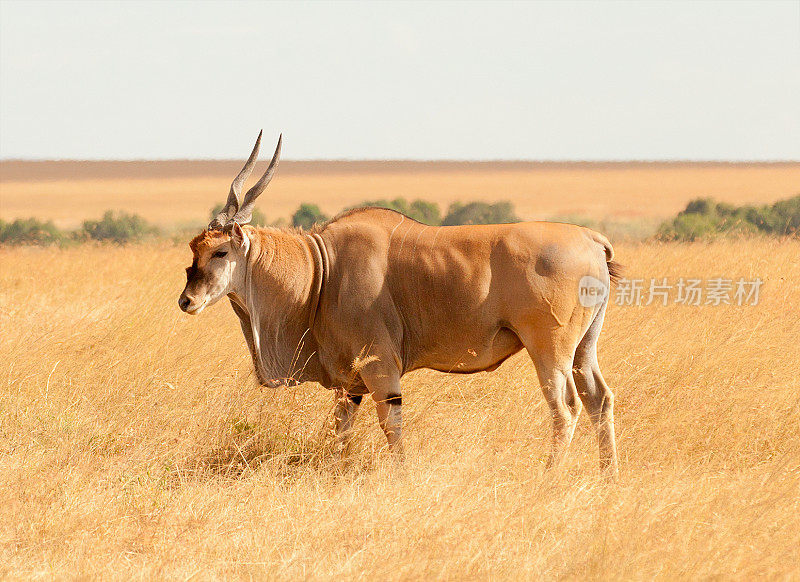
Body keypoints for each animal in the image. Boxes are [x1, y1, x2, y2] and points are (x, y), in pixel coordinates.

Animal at [178, 132, 620, 480]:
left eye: (220, 251)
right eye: (194, 248)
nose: (186, 300)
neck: (322, 268)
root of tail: (592, 238)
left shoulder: (380, 368)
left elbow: (391, 426)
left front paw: (402, 477)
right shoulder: (349, 383)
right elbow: (341, 430)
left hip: (550, 350)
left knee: (566, 408)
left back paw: (548, 479)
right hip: (583, 350)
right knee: (599, 399)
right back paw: (608, 477)